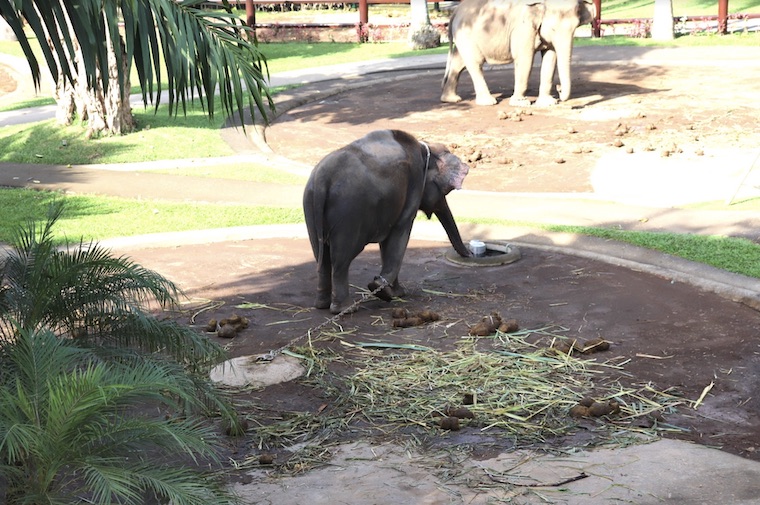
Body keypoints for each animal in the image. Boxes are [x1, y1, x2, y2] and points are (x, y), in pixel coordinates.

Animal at [303, 129, 472, 315]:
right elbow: (399, 235)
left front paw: (391, 291)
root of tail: (322, 179)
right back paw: (345, 309)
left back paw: (322, 305)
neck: (425, 147)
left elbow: (387, 242)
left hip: (310, 205)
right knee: (341, 259)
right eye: (445, 191)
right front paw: (381, 289)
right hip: (348, 212)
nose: (471, 254)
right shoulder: (413, 185)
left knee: (322, 257)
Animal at [440, 0, 596, 107]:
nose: (559, 88)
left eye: (575, 28)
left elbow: (550, 58)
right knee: (475, 63)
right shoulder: (522, 28)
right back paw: (488, 102)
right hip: (466, 35)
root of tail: (455, 12)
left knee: (458, 63)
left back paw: (451, 99)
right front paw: (521, 103)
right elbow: (525, 59)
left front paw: (547, 103)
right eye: (552, 28)